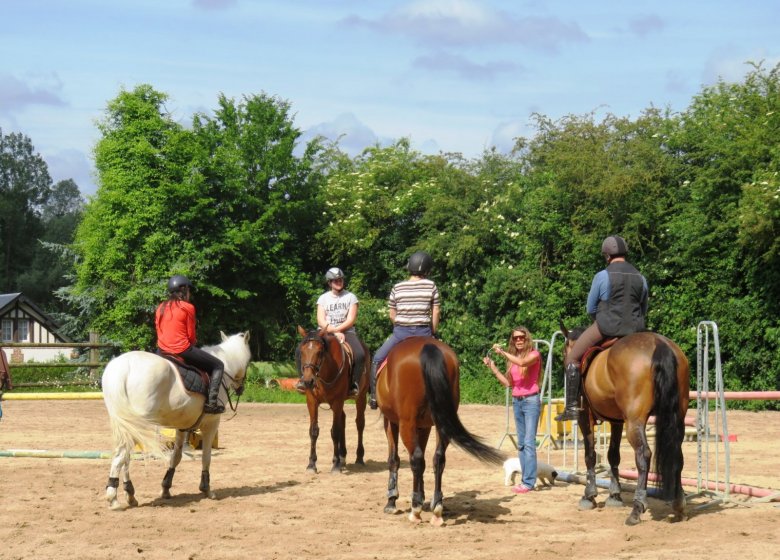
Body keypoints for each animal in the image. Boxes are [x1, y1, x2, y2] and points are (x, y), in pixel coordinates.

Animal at [100, 330, 251, 510]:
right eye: (249, 362)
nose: (241, 388)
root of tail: (123, 368)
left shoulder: (182, 425)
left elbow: (176, 456)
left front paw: (165, 488)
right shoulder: (211, 423)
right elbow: (206, 456)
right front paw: (206, 489)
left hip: (127, 423)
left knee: (124, 455)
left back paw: (130, 494)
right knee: (122, 455)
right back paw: (114, 498)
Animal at [298, 326, 372, 474]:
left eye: (320, 352)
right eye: (302, 351)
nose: (308, 381)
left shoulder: (337, 401)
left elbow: (335, 431)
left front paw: (335, 465)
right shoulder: (312, 401)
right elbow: (314, 431)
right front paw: (311, 464)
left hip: (360, 397)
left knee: (360, 423)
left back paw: (359, 458)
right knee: (343, 420)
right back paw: (342, 457)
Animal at [378, 336, 506, 524]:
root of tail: (427, 346)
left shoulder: (391, 421)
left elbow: (394, 459)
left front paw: (392, 501)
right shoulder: (424, 425)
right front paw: (422, 495)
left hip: (406, 424)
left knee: (416, 458)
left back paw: (415, 510)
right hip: (441, 422)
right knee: (438, 458)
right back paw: (437, 508)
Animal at [560, 324, 688, 524]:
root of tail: (660, 344)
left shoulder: (585, 417)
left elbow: (590, 455)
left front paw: (589, 496)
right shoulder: (616, 421)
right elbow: (613, 455)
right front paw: (614, 495)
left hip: (635, 421)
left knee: (643, 454)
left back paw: (637, 508)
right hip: (676, 419)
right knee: (676, 454)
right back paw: (678, 503)